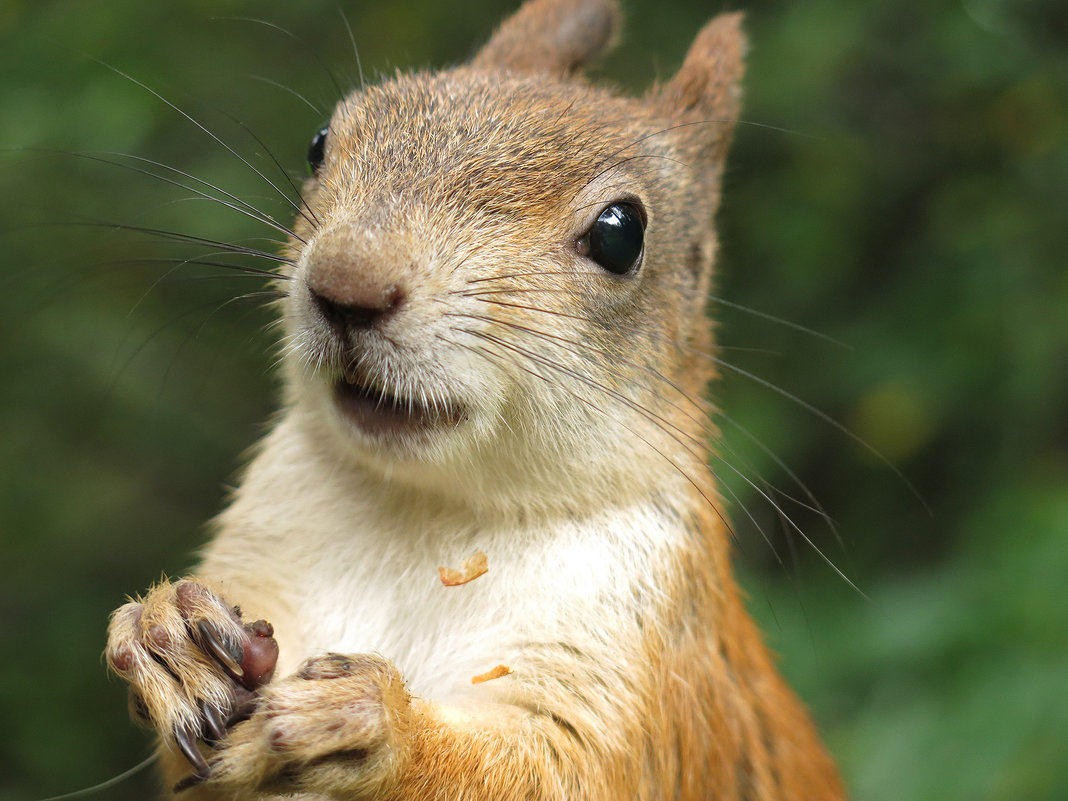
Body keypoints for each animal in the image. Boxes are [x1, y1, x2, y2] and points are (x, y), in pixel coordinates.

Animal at [104, 0, 845, 798]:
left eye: (622, 234)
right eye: (320, 143)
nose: (347, 282)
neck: (426, 510)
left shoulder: (649, 666)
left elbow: (550, 774)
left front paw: (376, 727)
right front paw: (166, 633)